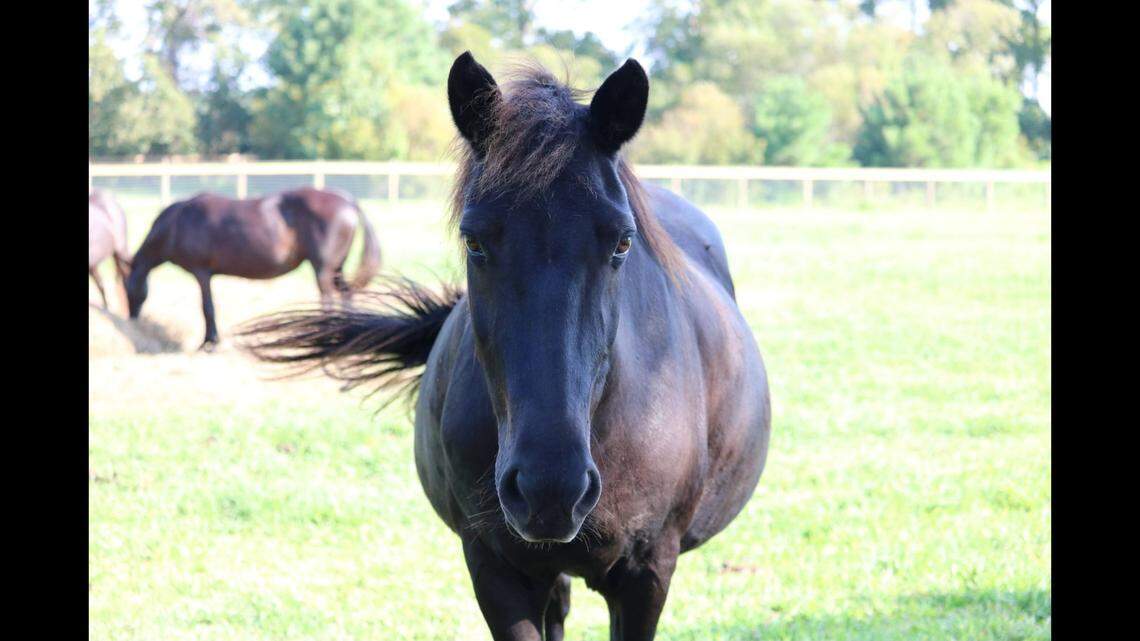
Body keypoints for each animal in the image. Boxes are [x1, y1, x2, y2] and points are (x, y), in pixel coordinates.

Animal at [127, 187, 381, 349]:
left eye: (127, 288)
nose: (132, 318)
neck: (177, 223)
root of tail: (348, 201)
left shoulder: (202, 273)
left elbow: (207, 307)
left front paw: (209, 342)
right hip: (336, 267)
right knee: (347, 293)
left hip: (323, 268)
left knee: (327, 297)